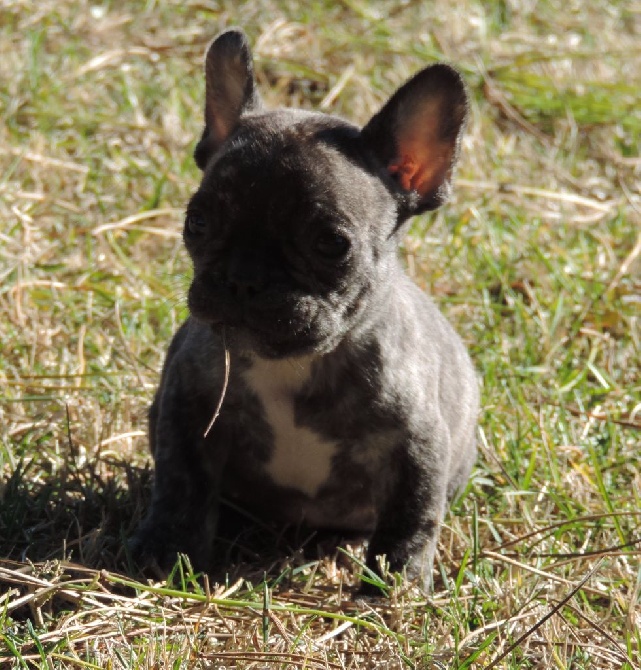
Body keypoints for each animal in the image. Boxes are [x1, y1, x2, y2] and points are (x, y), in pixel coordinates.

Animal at [130, 26, 478, 596]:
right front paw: (166, 551)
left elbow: (411, 520)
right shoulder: (188, 410)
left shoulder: (418, 446)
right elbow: (182, 485)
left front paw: (394, 589)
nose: (244, 277)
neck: (292, 363)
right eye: (197, 222)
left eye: (331, 244)